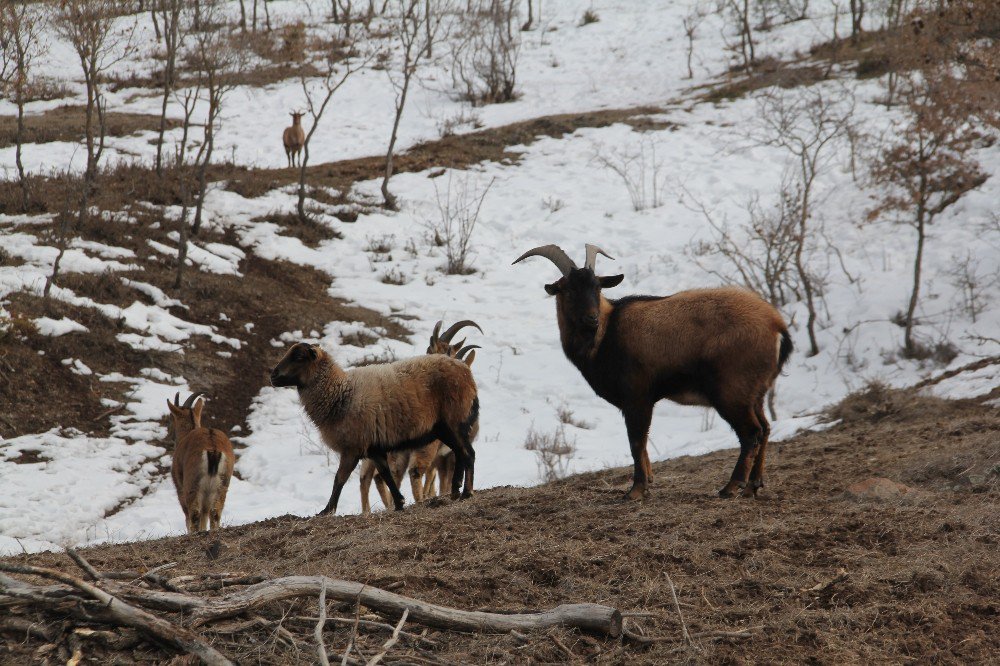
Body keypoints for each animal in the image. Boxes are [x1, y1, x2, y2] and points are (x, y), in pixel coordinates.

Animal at [170, 392, 238, 532]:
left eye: (172, 417)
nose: (170, 437)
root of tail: (213, 448)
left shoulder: (180, 488)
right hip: (222, 485)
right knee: (215, 512)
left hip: (192, 485)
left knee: (194, 514)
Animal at [272, 340, 478, 516]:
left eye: (299, 357)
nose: (272, 376)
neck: (340, 393)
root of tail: (465, 370)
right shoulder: (373, 449)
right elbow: (386, 475)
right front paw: (399, 503)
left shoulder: (352, 448)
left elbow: (339, 478)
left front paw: (327, 510)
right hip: (444, 429)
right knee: (460, 452)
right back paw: (455, 491)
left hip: (454, 421)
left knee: (468, 453)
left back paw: (466, 492)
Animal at [512, 243, 792, 498]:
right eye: (568, 290)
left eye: (597, 287)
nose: (592, 318)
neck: (606, 334)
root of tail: (776, 328)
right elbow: (643, 442)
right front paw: (648, 483)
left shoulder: (637, 396)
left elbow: (636, 441)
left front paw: (636, 490)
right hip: (755, 393)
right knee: (765, 429)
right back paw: (753, 486)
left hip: (731, 392)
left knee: (751, 433)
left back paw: (731, 487)